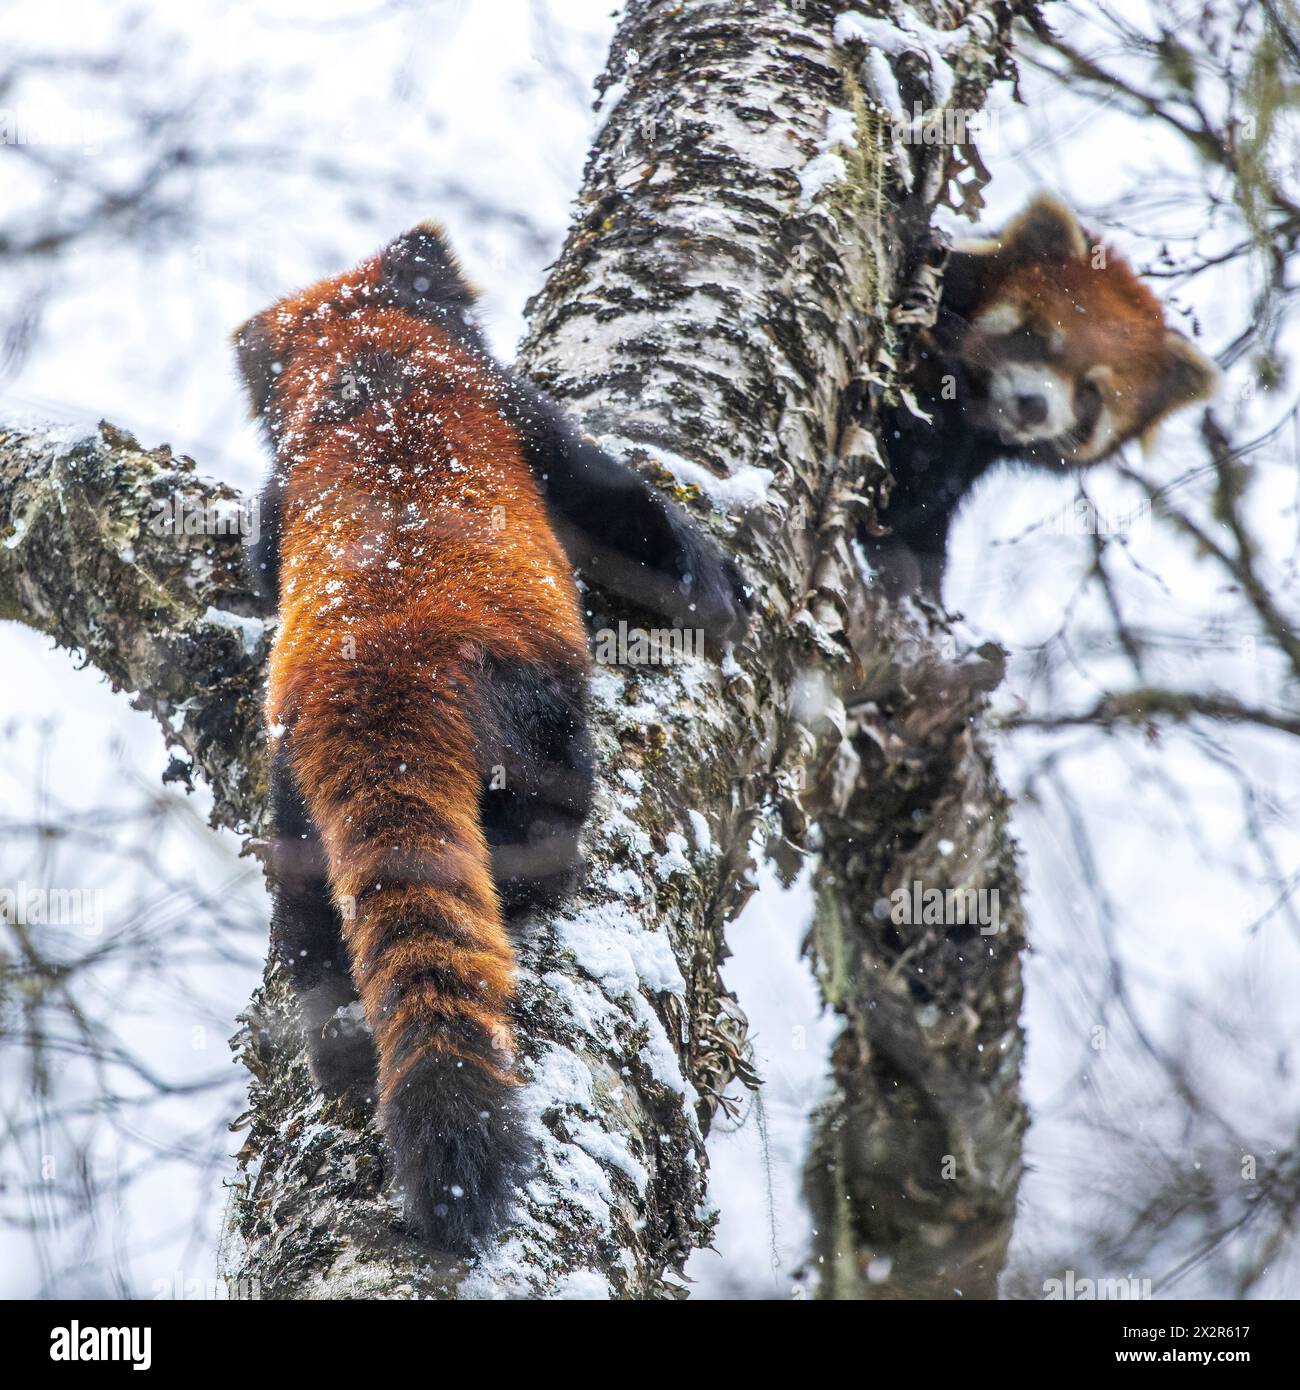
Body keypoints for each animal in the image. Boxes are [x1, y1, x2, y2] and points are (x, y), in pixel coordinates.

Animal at [236, 225, 750, 1251]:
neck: (357, 364)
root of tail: (379, 686)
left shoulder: (278, 497)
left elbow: (258, 555)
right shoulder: (514, 410)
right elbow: (620, 506)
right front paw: (715, 590)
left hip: (289, 774)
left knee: (305, 903)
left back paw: (336, 1038)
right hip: (519, 697)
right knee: (551, 794)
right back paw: (542, 869)